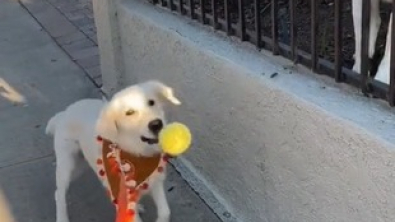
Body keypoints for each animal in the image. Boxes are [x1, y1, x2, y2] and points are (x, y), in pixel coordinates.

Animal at [46, 80, 181, 222]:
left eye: (151, 102)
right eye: (129, 112)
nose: (156, 124)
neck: (137, 152)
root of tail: (64, 113)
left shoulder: (156, 181)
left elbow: (165, 211)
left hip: (80, 166)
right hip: (68, 166)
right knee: (59, 193)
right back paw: (62, 218)